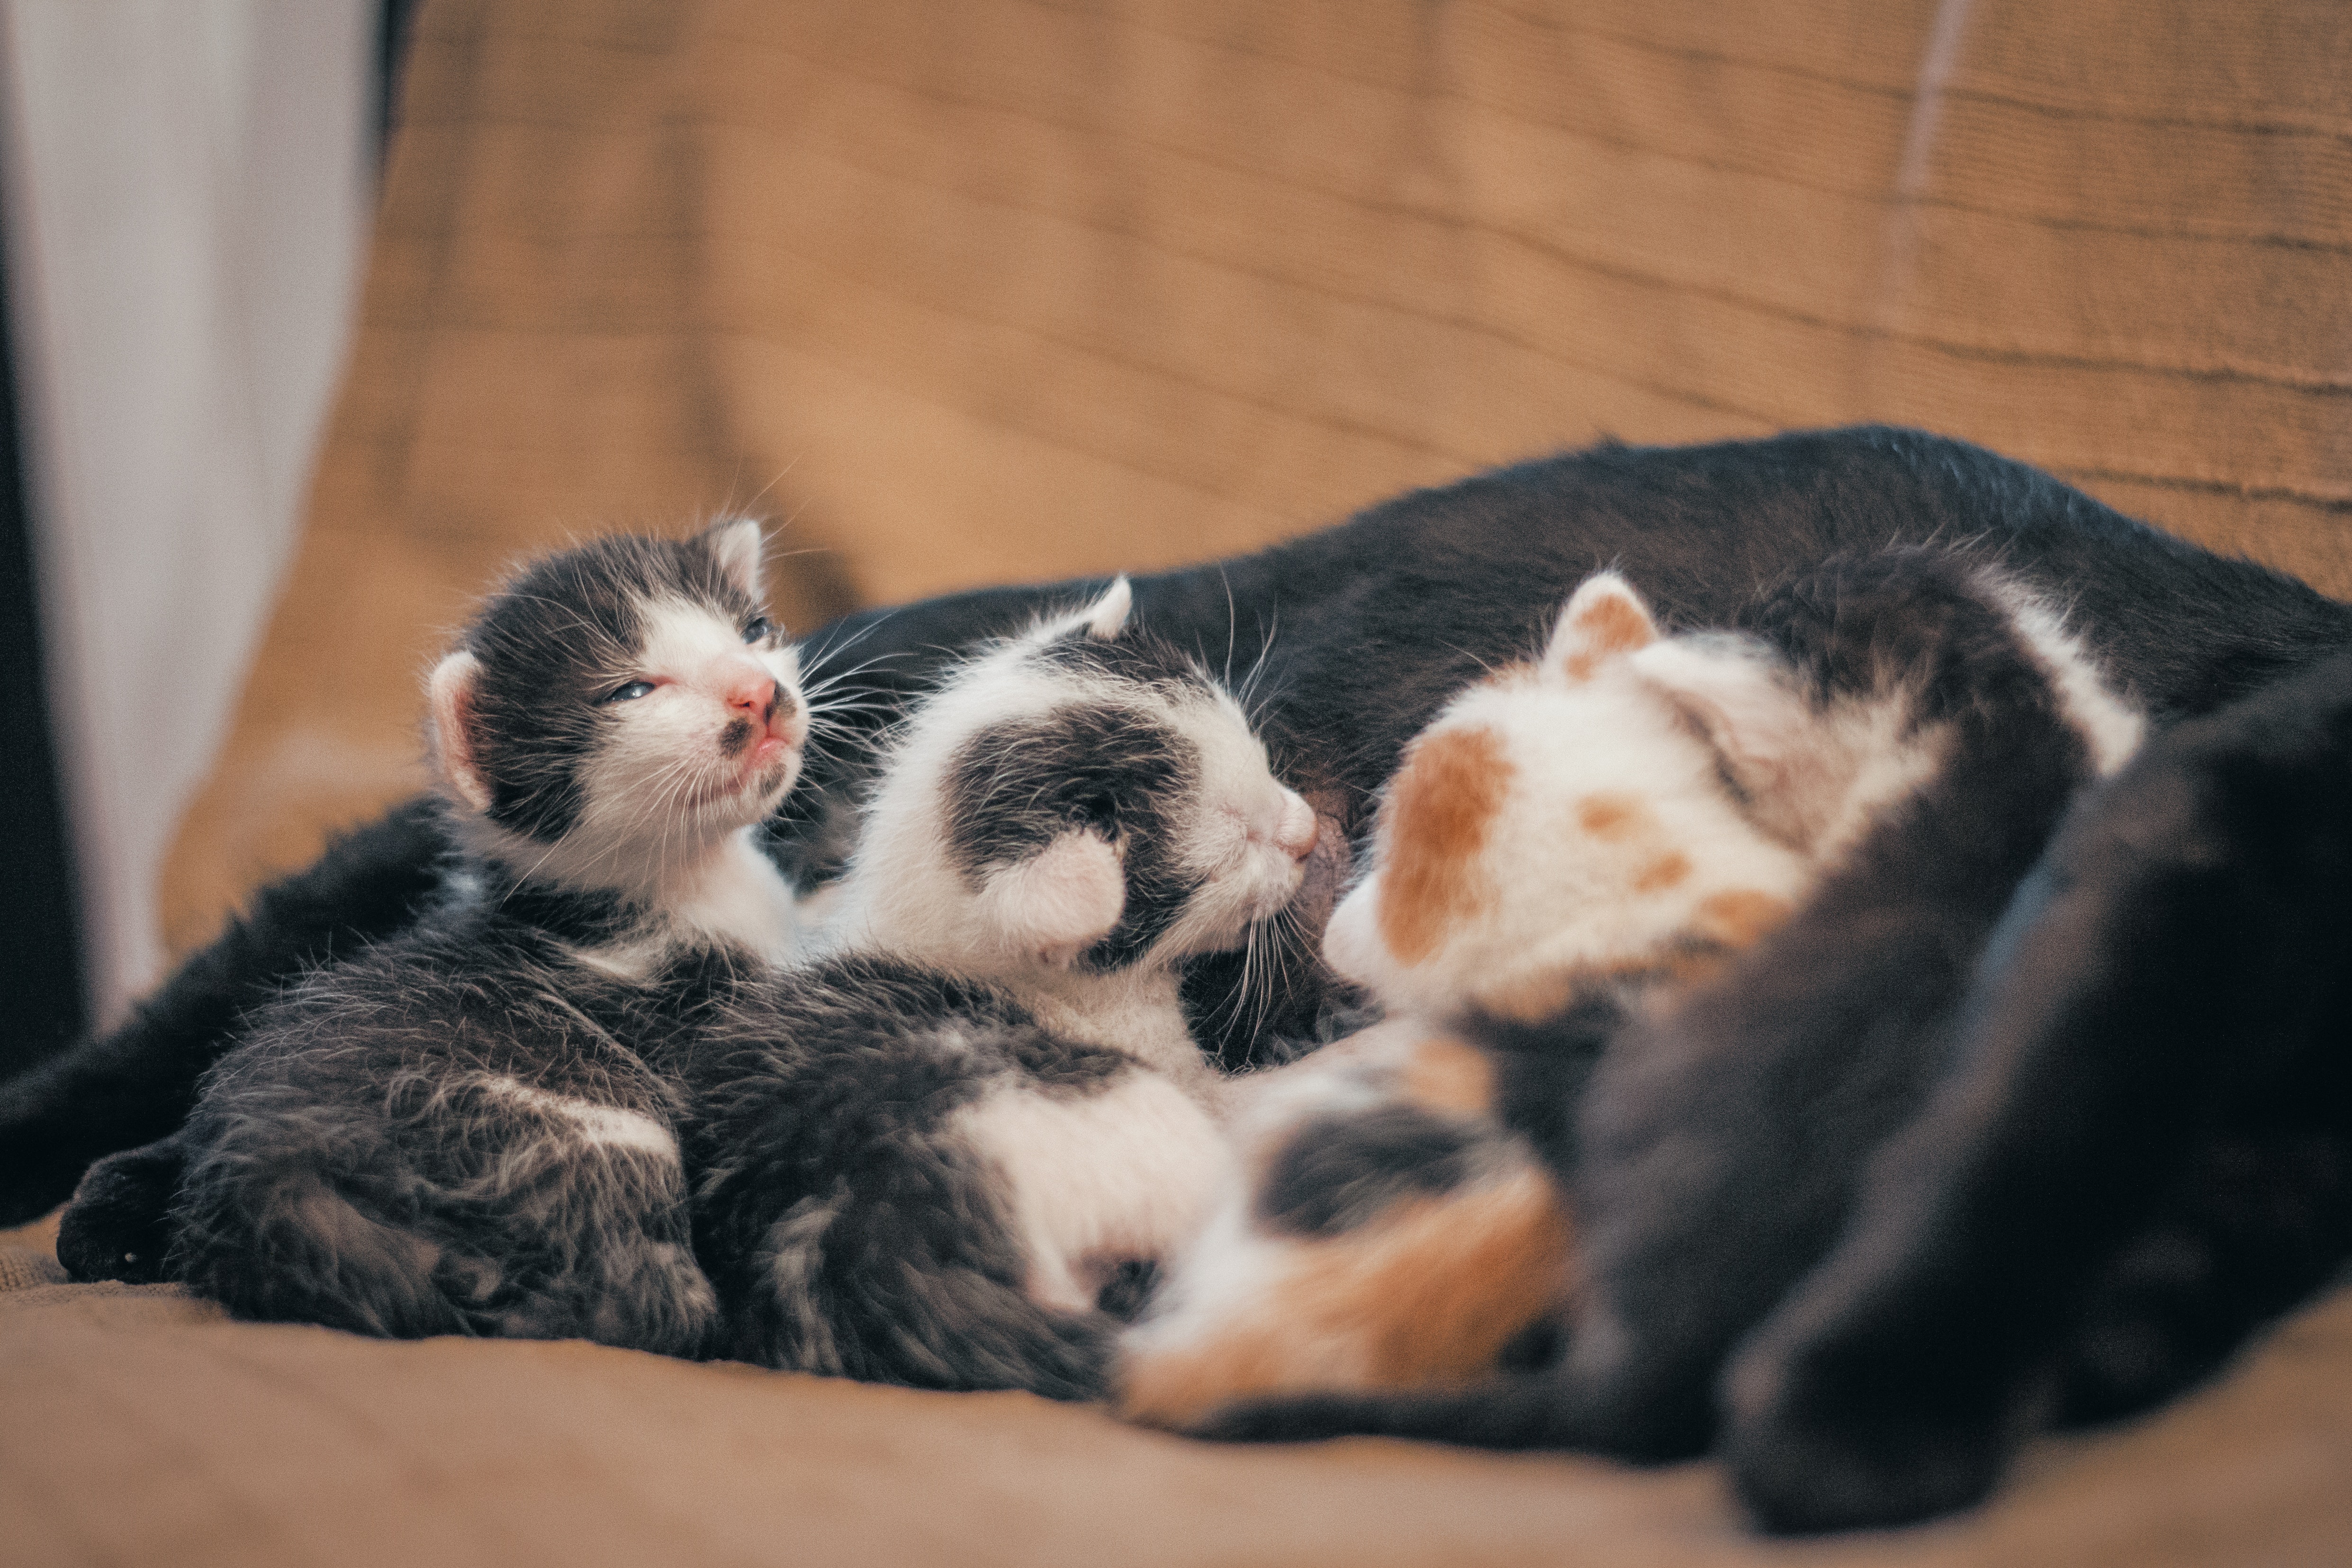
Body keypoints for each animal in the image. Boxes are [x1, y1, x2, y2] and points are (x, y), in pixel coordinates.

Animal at [152, 522, 809, 1354]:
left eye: (753, 631)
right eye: (632, 690)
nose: (757, 691)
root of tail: (275, 1184)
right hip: (589, 1126)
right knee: (621, 1298)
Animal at [686, 583, 1336, 1401]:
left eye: (1261, 765)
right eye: (1240, 851)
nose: (1309, 832)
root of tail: (859, 1253)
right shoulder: (1171, 1069)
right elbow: (1254, 1092)